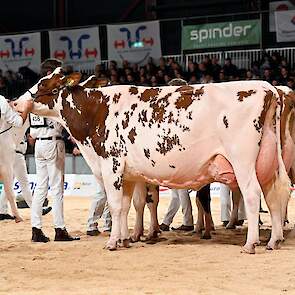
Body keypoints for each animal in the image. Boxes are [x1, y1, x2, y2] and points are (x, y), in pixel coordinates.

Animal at [17, 68, 292, 253]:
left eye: (44, 84)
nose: (16, 102)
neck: (97, 111)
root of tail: (268, 88)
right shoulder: (127, 174)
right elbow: (126, 206)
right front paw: (124, 239)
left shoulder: (111, 166)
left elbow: (115, 206)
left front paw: (112, 242)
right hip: (269, 161)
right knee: (276, 192)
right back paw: (274, 240)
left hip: (242, 160)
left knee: (252, 194)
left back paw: (250, 243)